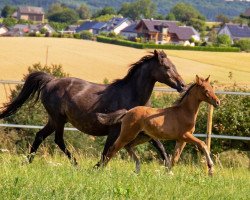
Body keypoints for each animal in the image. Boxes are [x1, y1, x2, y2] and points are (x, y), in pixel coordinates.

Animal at [0, 50, 185, 166]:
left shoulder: (142, 128)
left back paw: (27, 162)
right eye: (167, 67)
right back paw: (76, 164)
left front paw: (169, 169)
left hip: (54, 119)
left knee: (40, 135)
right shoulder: (114, 130)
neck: (132, 94)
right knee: (58, 140)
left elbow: (160, 146)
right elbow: (107, 151)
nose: (182, 85)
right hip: (59, 119)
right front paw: (96, 169)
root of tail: (51, 80)